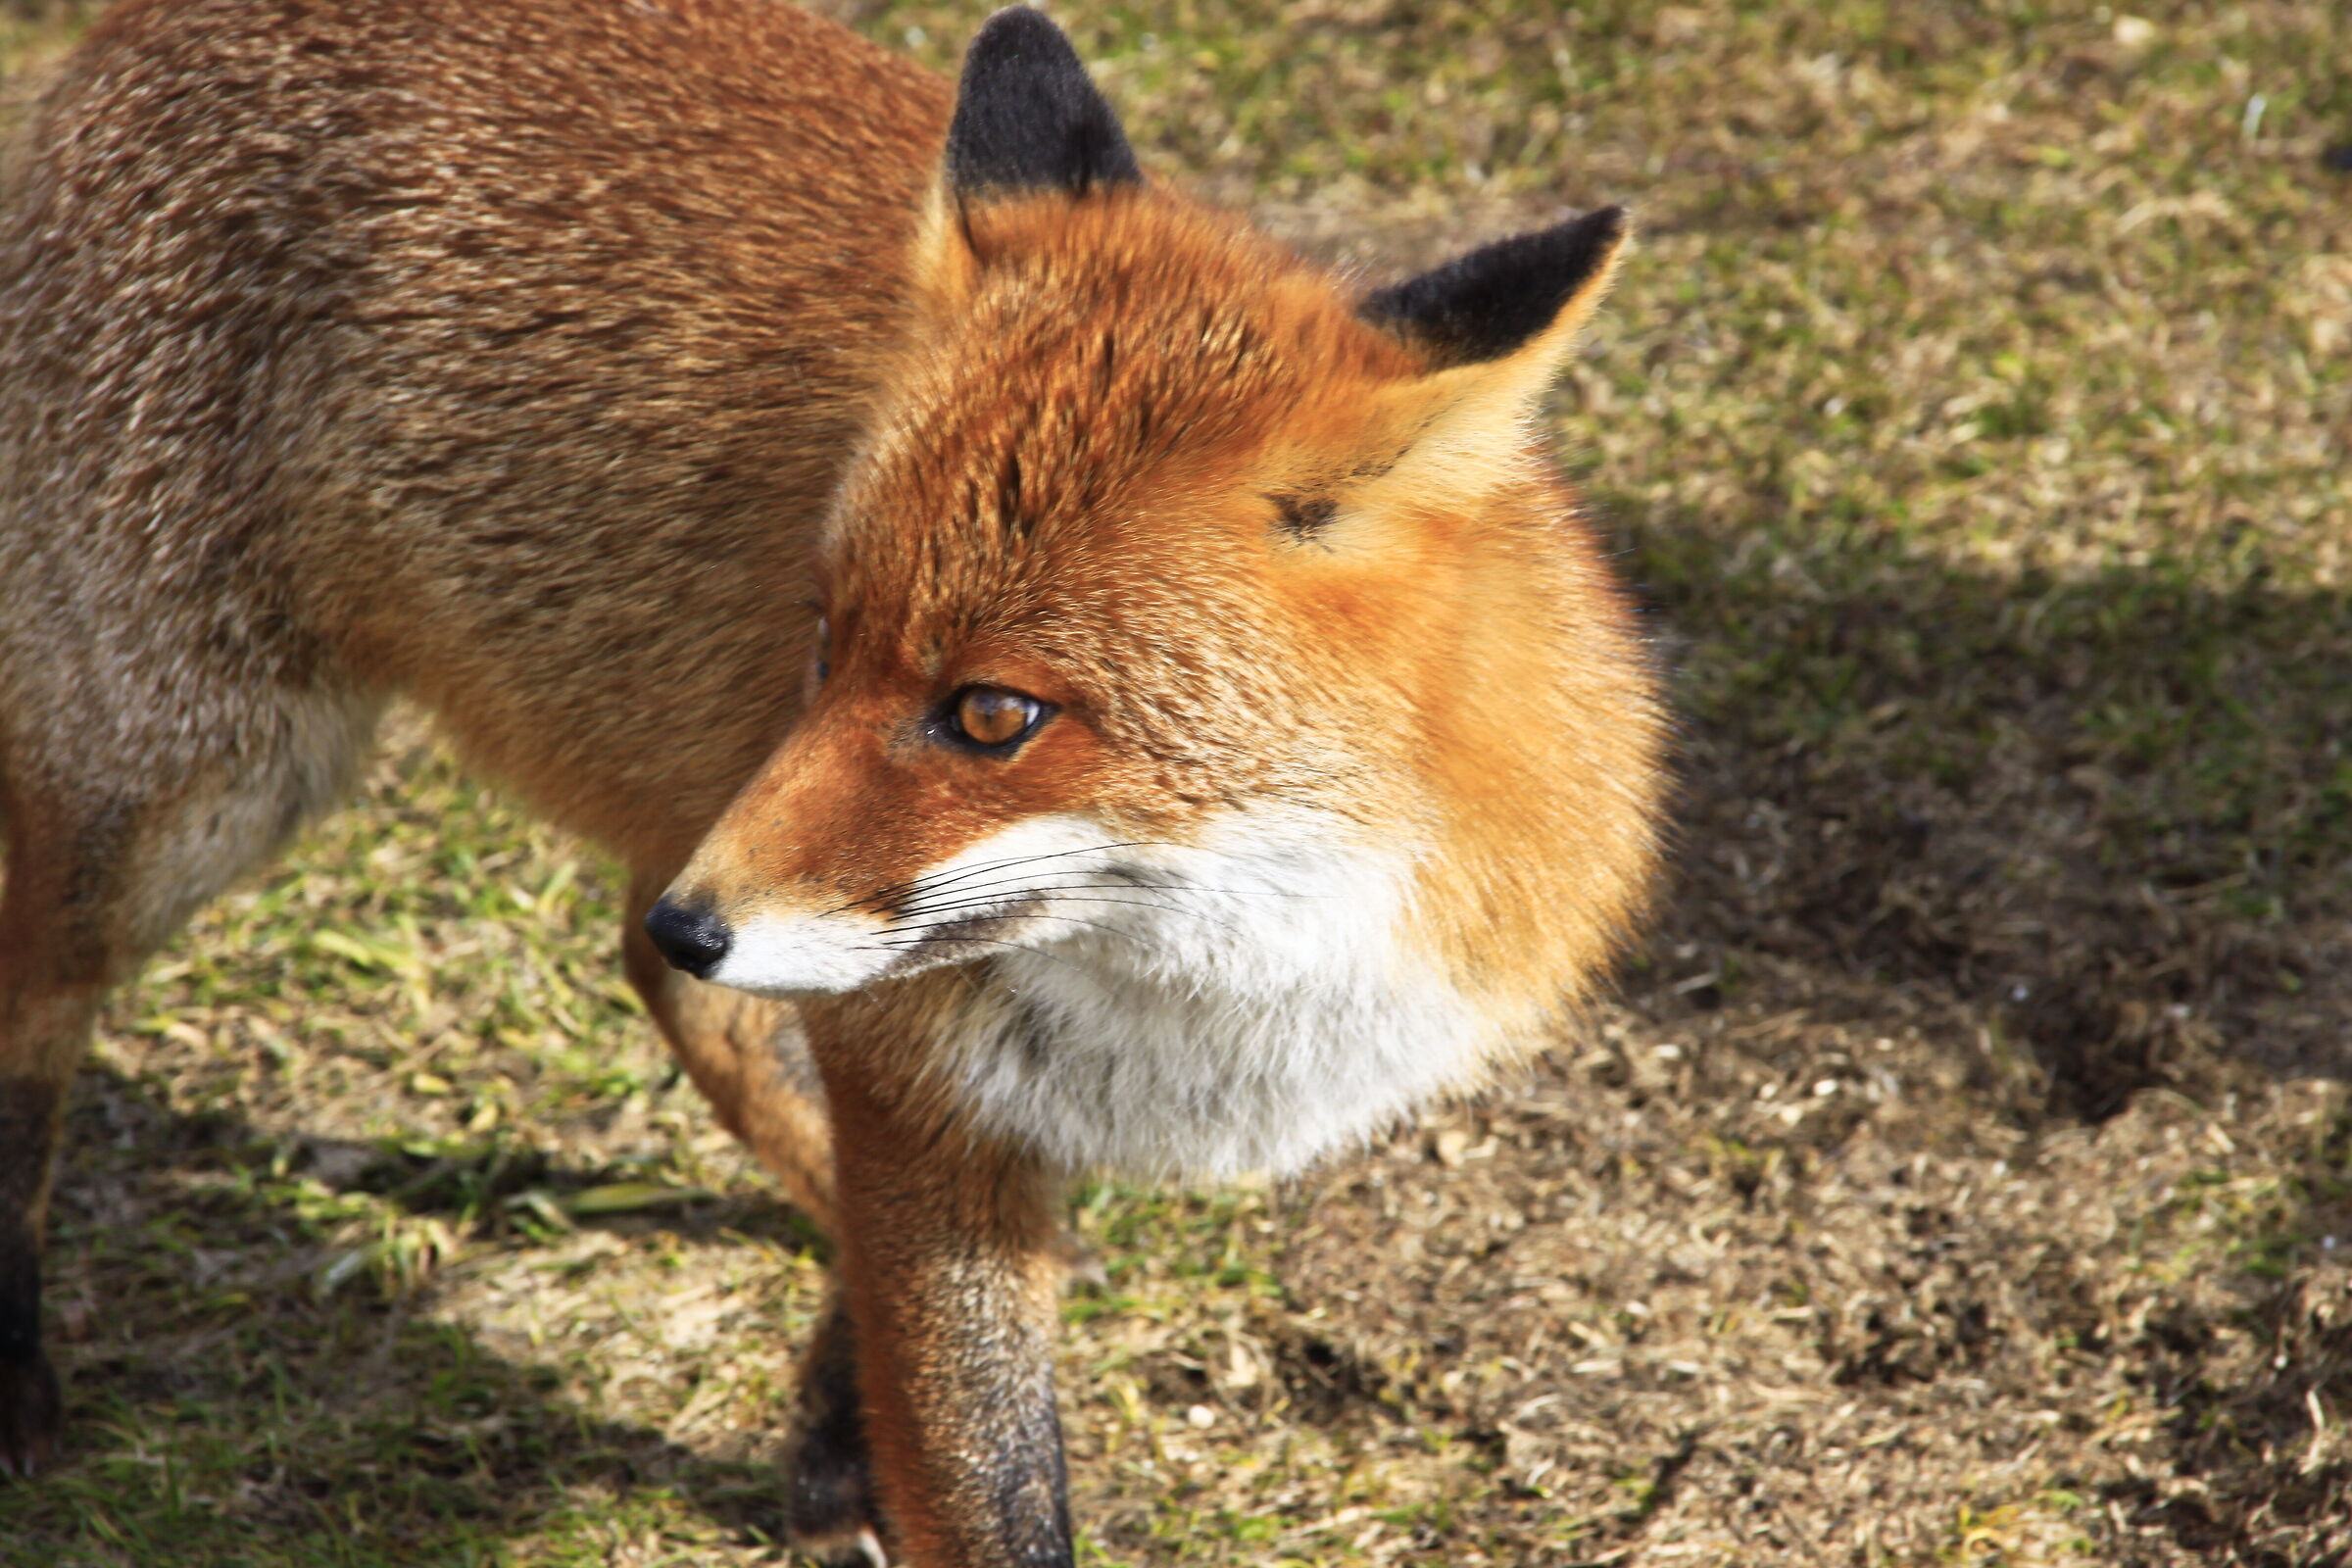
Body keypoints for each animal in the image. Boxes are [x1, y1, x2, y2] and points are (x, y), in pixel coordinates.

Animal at [0, 1, 1666, 1562]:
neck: (1240, 966)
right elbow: (989, 1485)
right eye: (824, 631)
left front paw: (833, 1424)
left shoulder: (932, 1080)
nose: (701, 921)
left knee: (663, 989)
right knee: (38, 1000)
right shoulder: (921, 1086)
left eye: (993, 713)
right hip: (190, 794)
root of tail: (150, 31)